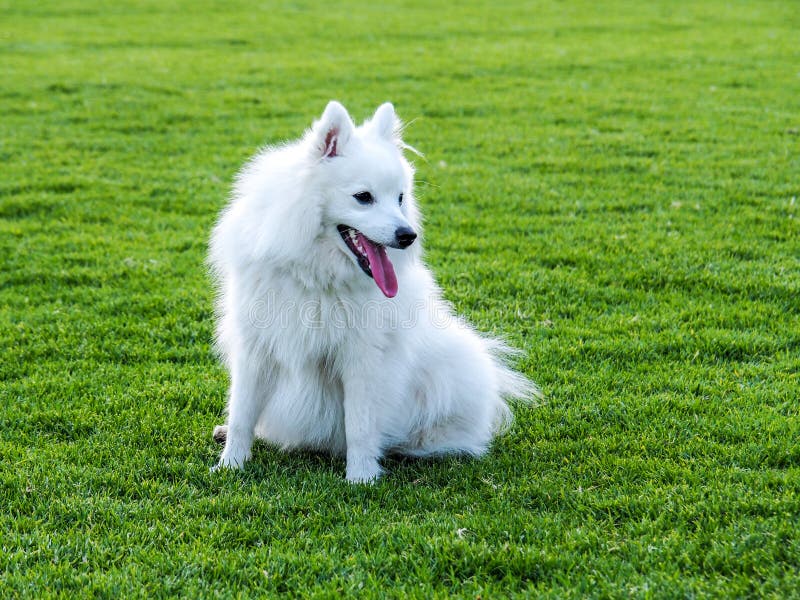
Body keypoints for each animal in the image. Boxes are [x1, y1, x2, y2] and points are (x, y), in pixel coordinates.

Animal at [208, 99, 536, 482]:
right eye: (363, 197)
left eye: (400, 198)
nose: (408, 236)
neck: (315, 273)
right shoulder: (256, 348)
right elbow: (242, 413)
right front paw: (231, 464)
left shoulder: (362, 357)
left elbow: (360, 424)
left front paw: (361, 477)